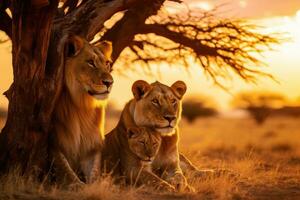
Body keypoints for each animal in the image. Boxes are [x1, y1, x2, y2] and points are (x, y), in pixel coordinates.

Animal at [51, 35, 113, 187]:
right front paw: (80, 187)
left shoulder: (92, 146)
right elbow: (68, 174)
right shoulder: (54, 143)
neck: (82, 106)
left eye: (107, 64)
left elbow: (95, 174)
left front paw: (95, 187)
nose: (109, 82)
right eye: (90, 62)